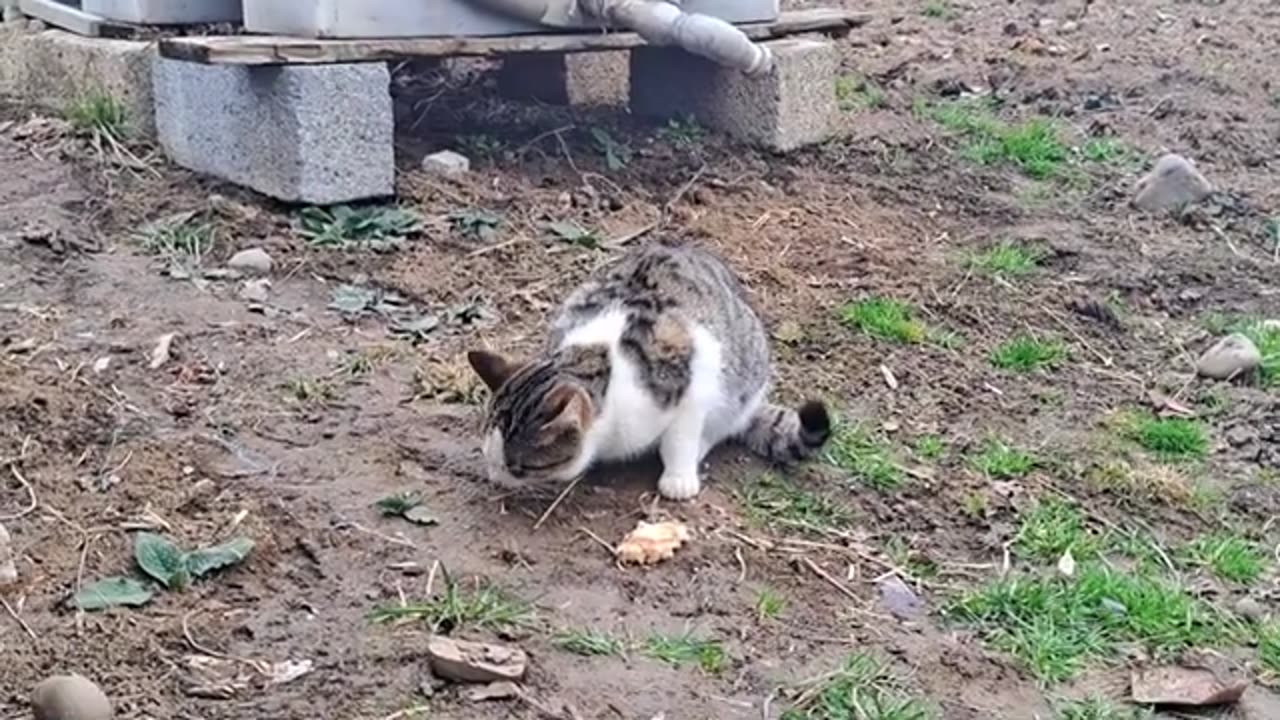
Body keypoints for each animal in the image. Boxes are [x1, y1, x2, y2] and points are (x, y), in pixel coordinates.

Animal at [465, 238, 834, 497]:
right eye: (486, 454)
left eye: (518, 467)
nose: (494, 478)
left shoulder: (697, 373)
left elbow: (681, 436)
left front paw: (679, 478)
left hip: (744, 380)